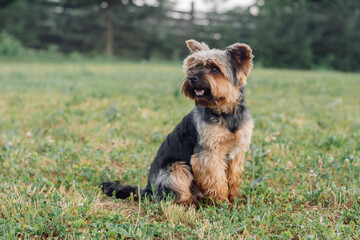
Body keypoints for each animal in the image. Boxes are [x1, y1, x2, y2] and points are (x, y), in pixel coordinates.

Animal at [100, 39, 255, 204]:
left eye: (215, 69)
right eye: (193, 67)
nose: (192, 78)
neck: (225, 112)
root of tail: (148, 189)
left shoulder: (237, 152)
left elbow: (233, 178)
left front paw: (235, 199)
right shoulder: (209, 154)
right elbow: (216, 180)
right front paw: (221, 202)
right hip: (176, 170)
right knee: (173, 196)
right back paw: (189, 203)